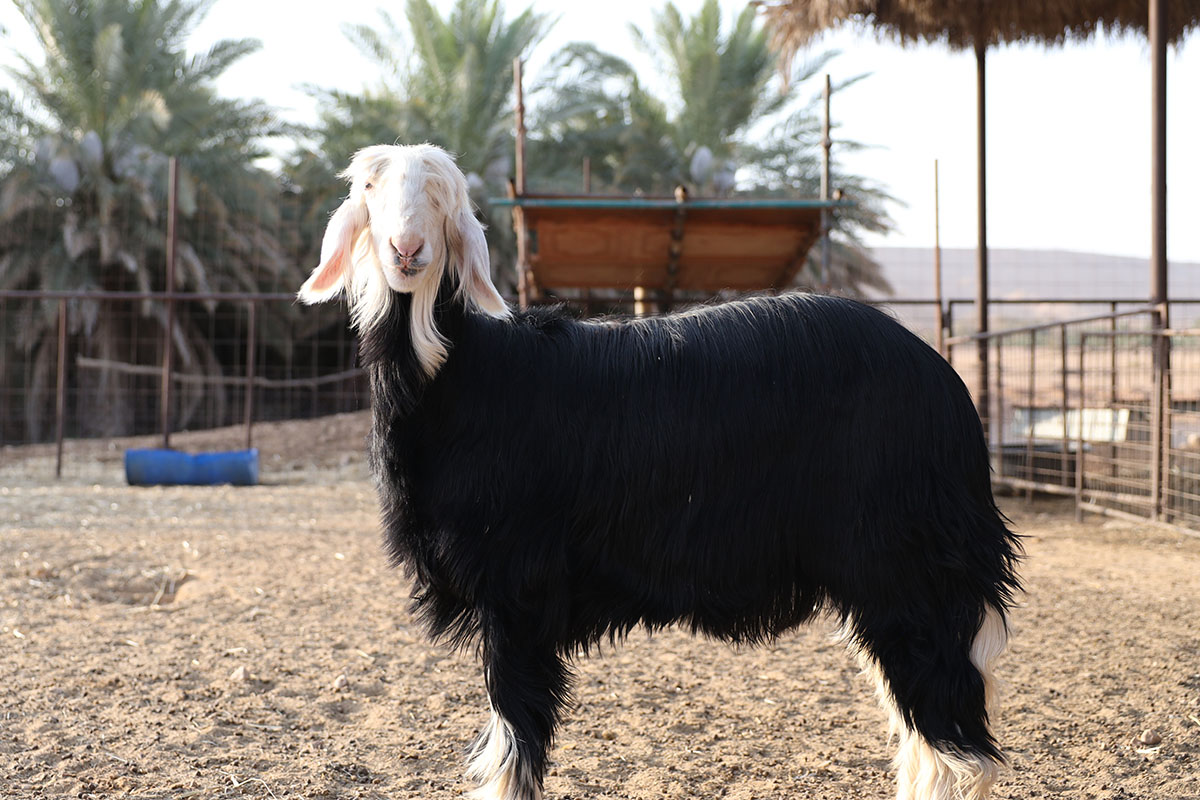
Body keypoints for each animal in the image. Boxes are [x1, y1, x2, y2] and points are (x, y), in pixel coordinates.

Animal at [297, 143, 1022, 800]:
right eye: (369, 187)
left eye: (443, 195)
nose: (408, 251)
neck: (460, 368)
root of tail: (948, 388)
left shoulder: (518, 581)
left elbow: (515, 737)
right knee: (927, 730)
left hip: (908, 562)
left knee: (956, 743)